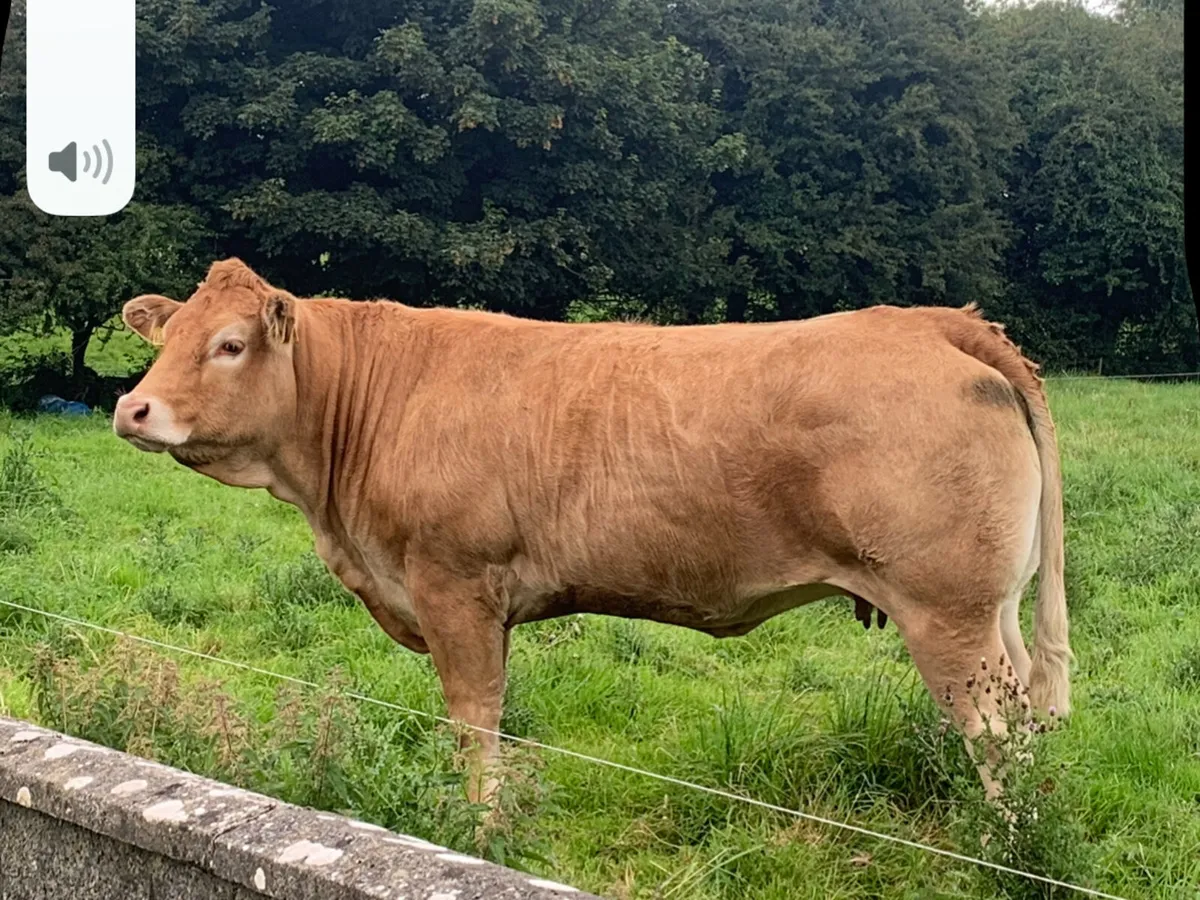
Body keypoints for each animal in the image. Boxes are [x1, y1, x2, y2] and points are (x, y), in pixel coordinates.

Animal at [113, 258, 1072, 802]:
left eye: (230, 344)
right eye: (169, 337)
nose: (132, 408)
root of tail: (931, 322)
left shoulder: (453, 585)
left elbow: (476, 720)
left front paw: (479, 822)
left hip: (946, 610)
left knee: (997, 739)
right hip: (995, 611)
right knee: (1028, 722)